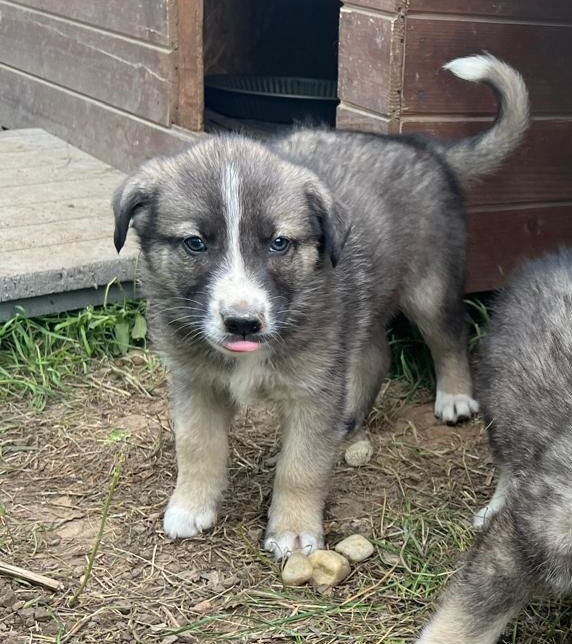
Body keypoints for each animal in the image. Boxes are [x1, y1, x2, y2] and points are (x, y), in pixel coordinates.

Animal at [114, 55, 528, 560]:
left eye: (278, 243)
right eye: (195, 243)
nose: (243, 324)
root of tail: (423, 147)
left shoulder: (313, 389)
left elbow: (302, 466)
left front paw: (293, 529)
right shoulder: (196, 383)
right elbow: (196, 446)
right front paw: (190, 505)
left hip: (429, 287)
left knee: (450, 334)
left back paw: (454, 396)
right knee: (374, 355)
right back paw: (348, 418)